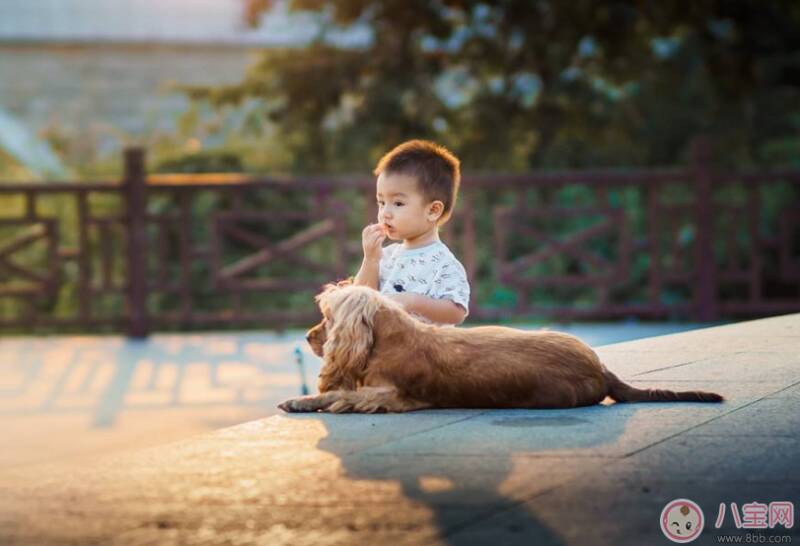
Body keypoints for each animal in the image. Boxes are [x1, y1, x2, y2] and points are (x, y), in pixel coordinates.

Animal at [282, 280, 724, 412]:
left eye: (326, 317)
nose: (306, 336)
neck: (388, 337)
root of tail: (602, 368)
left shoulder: (395, 396)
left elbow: (341, 394)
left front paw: (305, 400)